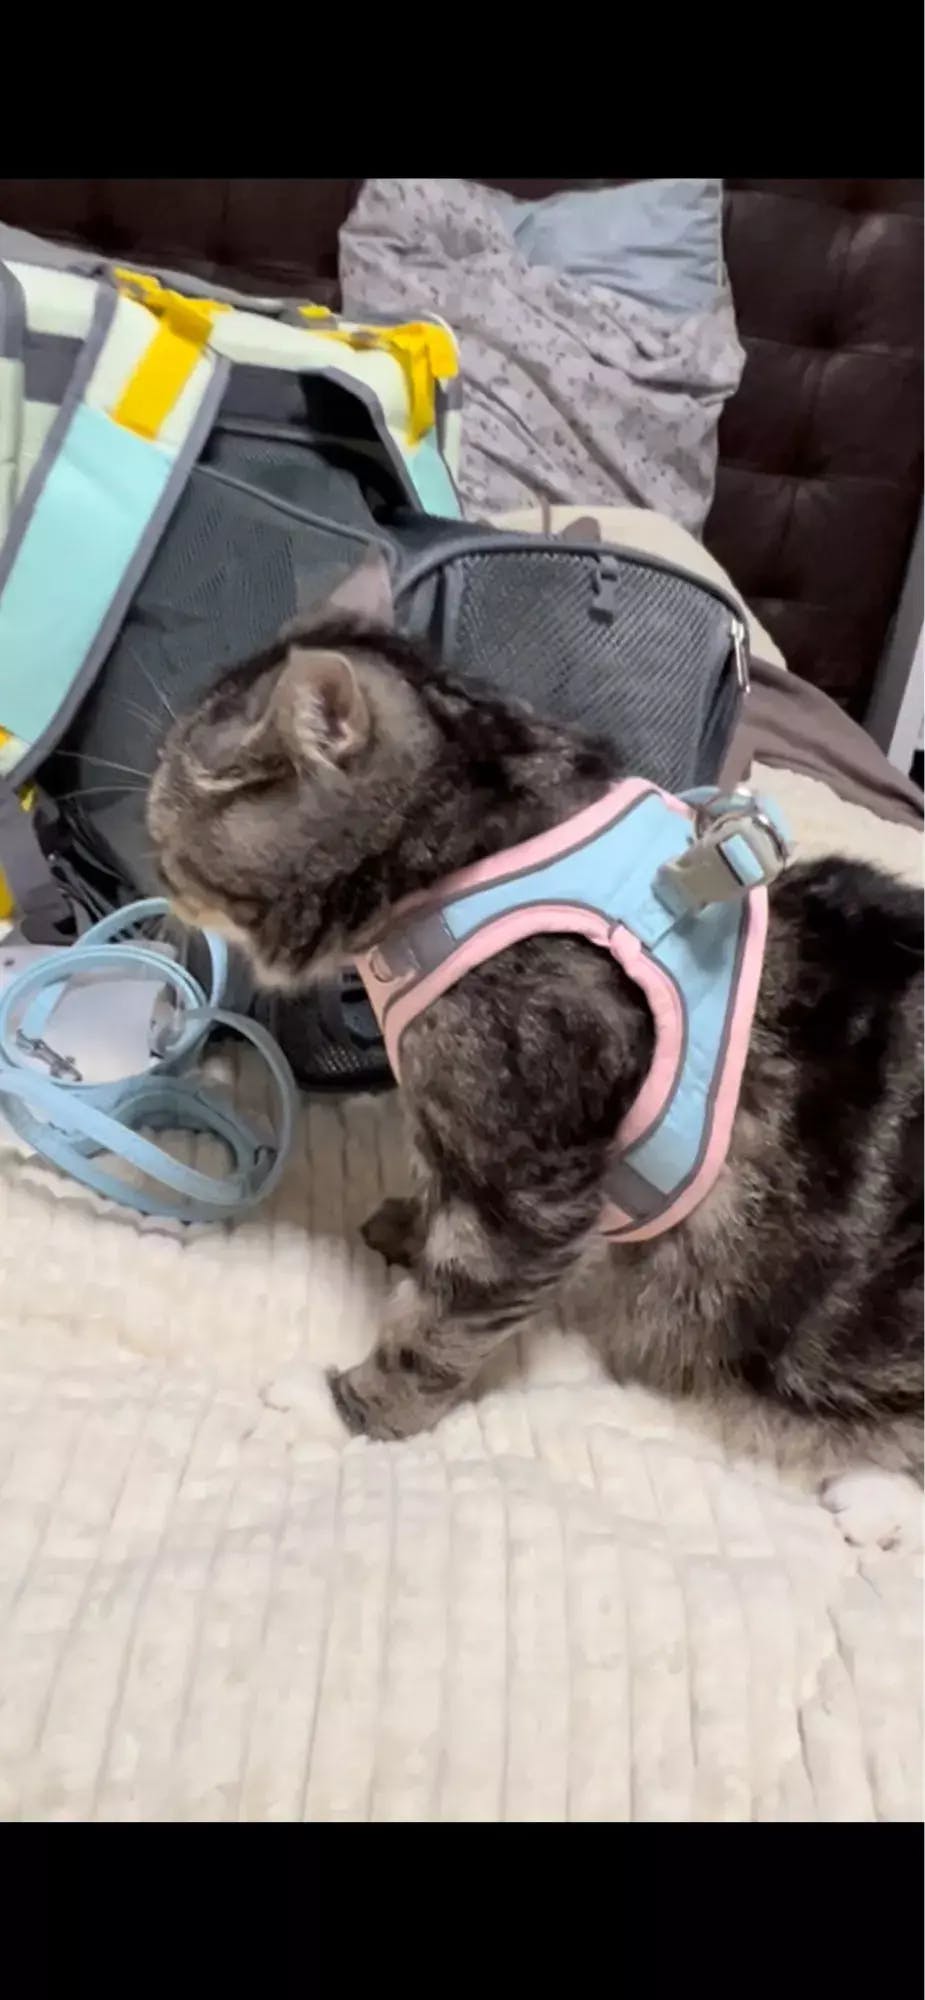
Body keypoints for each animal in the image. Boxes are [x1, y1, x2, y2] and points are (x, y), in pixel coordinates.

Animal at [147, 618, 924, 1544]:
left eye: (169, 826)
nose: (149, 858)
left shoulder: (525, 1185)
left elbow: (442, 1322)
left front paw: (351, 1408)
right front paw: (410, 1225)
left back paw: (874, 1496)